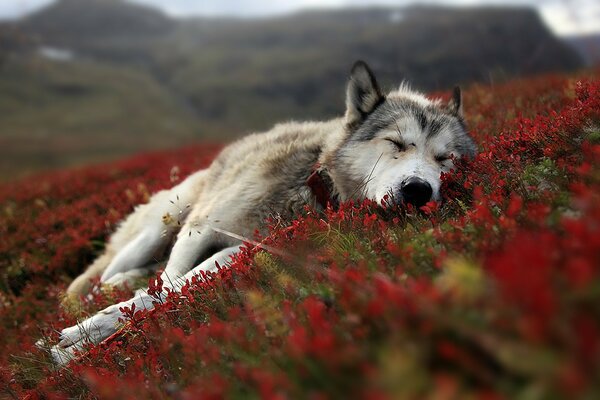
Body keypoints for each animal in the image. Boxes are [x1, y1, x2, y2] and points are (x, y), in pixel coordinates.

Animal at [49, 61, 476, 364]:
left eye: (445, 159)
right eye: (396, 143)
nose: (418, 190)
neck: (311, 184)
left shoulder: (242, 250)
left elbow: (167, 292)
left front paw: (83, 343)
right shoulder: (199, 230)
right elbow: (164, 286)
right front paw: (82, 336)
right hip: (163, 224)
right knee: (97, 278)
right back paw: (99, 291)